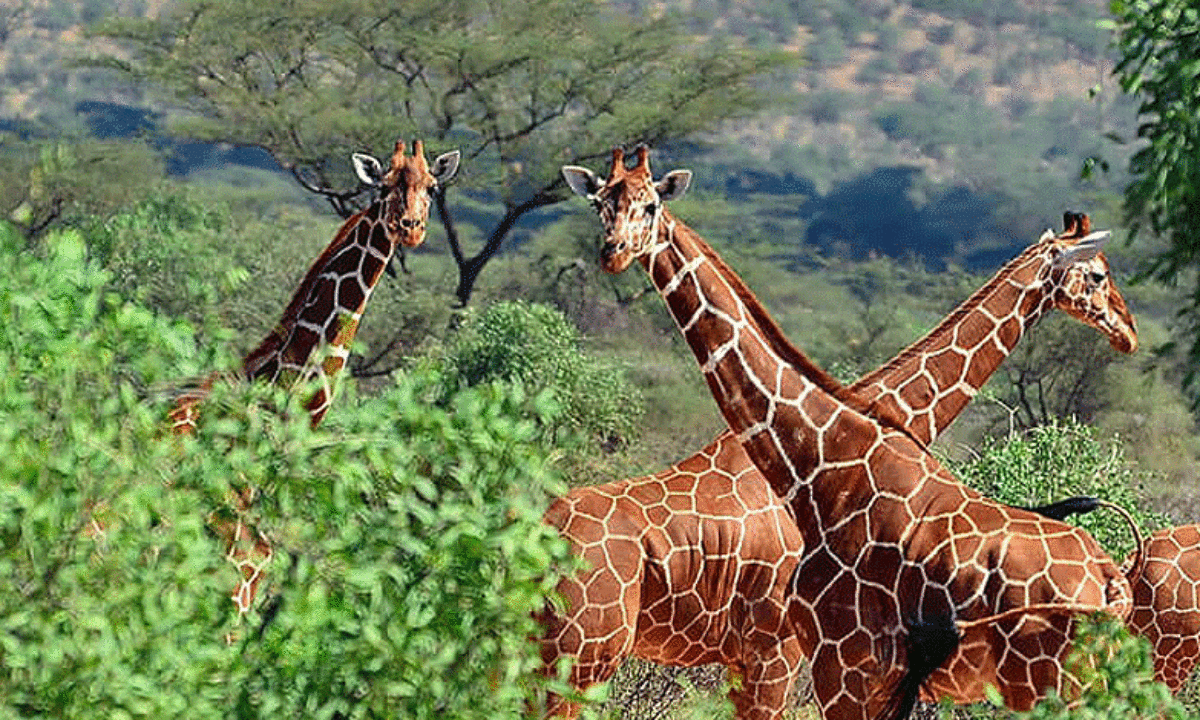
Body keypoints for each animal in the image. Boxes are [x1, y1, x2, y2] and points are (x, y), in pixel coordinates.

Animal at [561, 146, 1132, 720]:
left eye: (651, 205)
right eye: (600, 204)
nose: (1127, 332)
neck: (818, 462)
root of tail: (1112, 580)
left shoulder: (814, 661)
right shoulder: (812, 660)